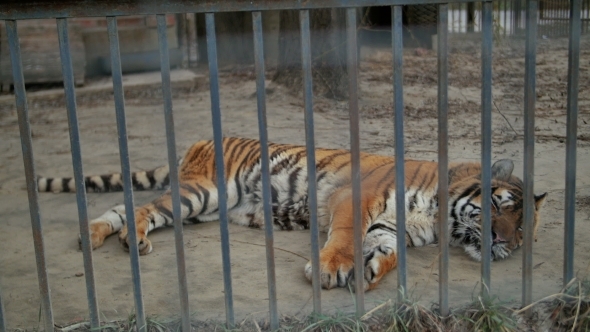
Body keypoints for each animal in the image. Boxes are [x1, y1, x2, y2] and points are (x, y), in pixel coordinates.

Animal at [39, 137, 552, 290]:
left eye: (523, 232)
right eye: (501, 207)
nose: (503, 242)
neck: (441, 219)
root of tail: (197, 143)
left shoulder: (392, 227)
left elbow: (386, 253)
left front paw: (369, 271)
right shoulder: (357, 198)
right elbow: (343, 236)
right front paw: (333, 269)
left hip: (204, 207)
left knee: (125, 208)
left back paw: (97, 236)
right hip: (203, 193)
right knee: (142, 206)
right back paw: (129, 238)